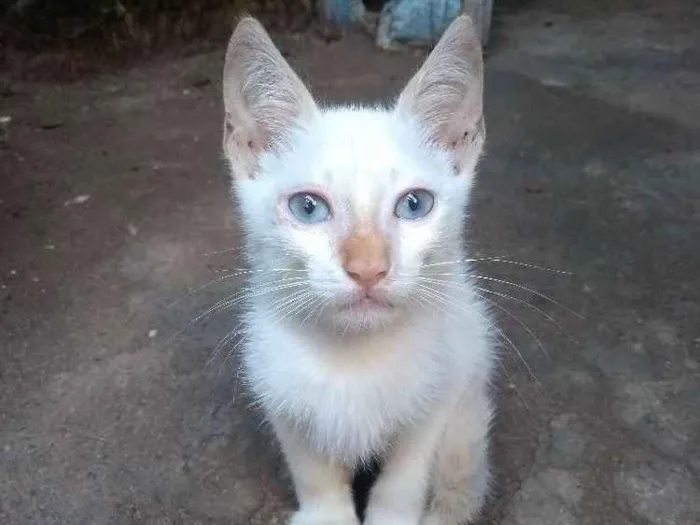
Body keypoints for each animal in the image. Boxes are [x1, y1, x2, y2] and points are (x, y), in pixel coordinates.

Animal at [221, 14, 494, 524]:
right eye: (308, 208)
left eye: (415, 204)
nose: (368, 269)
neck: (356, 358)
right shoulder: (279, 391)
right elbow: (314, 472)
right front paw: (325, 512)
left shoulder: (444, 390)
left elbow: (403, 477)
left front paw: (394, 512)